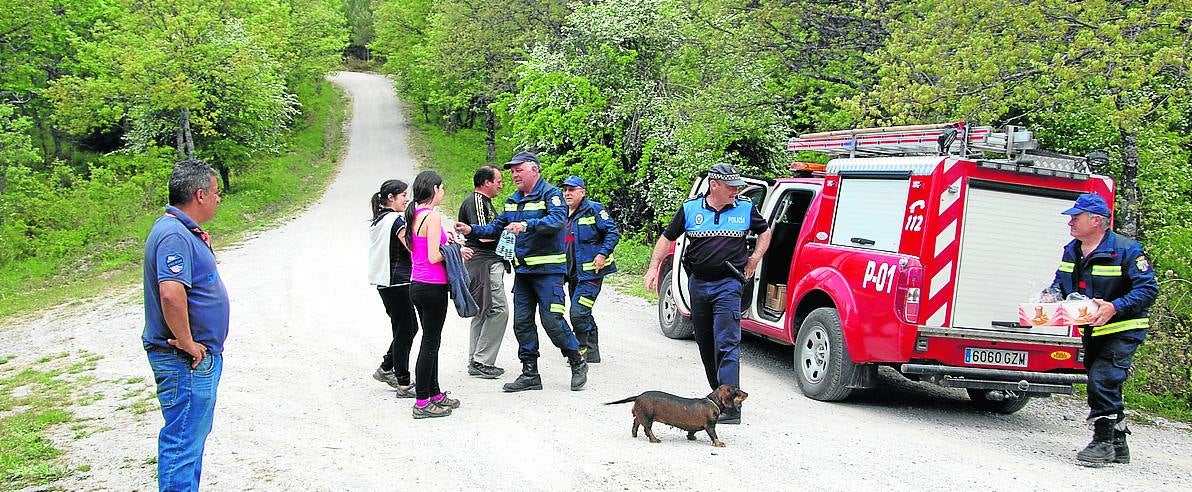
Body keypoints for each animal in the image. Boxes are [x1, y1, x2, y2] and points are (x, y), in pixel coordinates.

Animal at [605, 381, 743, 445]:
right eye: (736, 390)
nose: (746, 393)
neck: (712, 401)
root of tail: (639, 396)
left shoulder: (694, 426)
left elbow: (691, 432)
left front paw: (691, 437)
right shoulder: (710, 425)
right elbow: (714, 435)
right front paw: (719, 444)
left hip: (643, 414)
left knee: (636, 422)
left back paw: (634, 433)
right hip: (648, 417)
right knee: (647, 429)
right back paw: (654, 439)